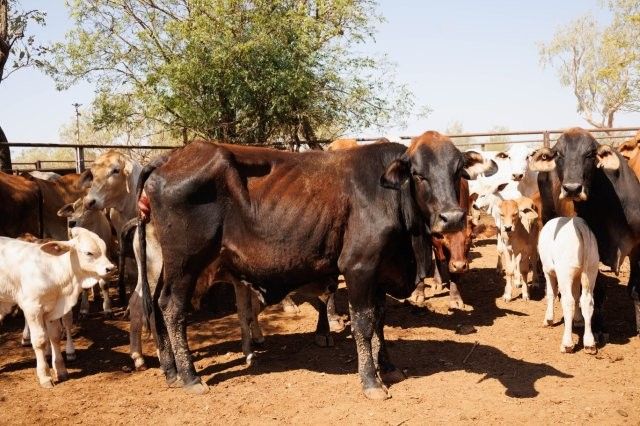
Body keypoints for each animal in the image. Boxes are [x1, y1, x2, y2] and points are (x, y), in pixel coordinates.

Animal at [0, 227, 115, 388]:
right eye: (88, 253)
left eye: (104, 250)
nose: (110, 268)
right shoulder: (33, 308)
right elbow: (40, 340)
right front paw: (45, 376)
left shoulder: (52, 310)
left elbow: (54, 336)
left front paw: (61, 370)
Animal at [136, 131, 496, 399]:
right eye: (419, 175)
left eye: (458, 171)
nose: (452, 218)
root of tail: (170, 157)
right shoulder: (359, 266)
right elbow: (364, 323)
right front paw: (371, 381)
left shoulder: (380, 271)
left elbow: (380, 321)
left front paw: (388, 366)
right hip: (186, 261)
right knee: (172, 308)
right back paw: (190, 377)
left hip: (167, 265)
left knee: (155, 303)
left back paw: (170, 372)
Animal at [530, 127, 640, 338]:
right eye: (558, 154)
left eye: (590, 154)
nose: (572, 189)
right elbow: (596, 291)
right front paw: (597, 328)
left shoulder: (639, 247)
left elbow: (635, 289)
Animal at [539, 217, 599, 354]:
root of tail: (578, 224)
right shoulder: (577, 276)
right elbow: (577, 295)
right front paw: (577, 319)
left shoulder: (547, 270)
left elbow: (551, 293)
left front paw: (548, 319)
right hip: (591, 268)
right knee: (587, 301)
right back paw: (589, 343)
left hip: (564, 271)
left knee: (568, 301)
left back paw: (567, 344)